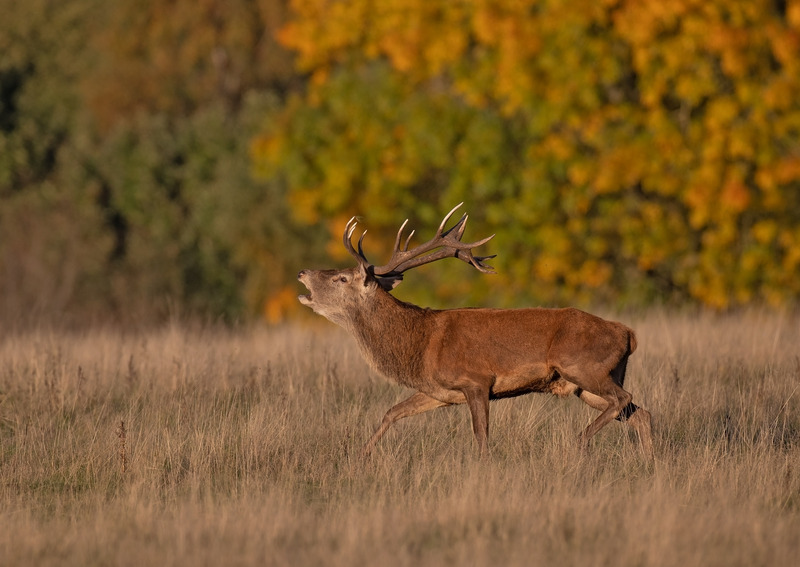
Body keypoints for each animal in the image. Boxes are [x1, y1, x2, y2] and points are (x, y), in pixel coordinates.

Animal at [297, 204, 653, 458]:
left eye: (341, 278)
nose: (302, 272)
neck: (418, 345)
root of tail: (629, 334)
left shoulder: (476, 380)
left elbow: (481, 441)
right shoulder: (438, 391)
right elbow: (391, 413)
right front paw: (359, 458)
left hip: (581, 365)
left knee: (625, 399)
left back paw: (580, 441)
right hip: (586, 383)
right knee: (641, 413)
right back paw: (649, 464)